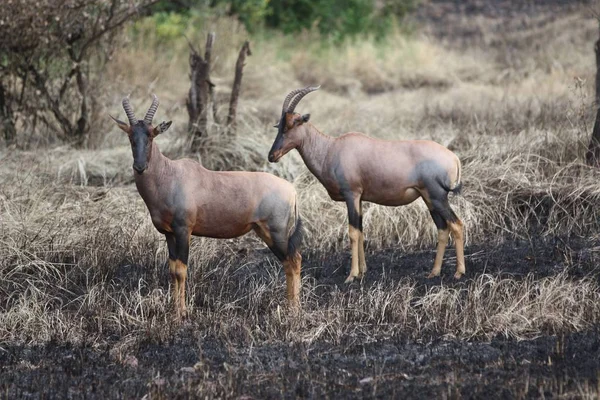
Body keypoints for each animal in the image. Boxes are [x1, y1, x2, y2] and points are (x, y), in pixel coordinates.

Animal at [112, 94, 302, 316]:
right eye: (130, 136)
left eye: (151, 135)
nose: (140, 167)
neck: (170, 174)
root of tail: (292, 190)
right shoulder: (169, 233)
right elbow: (172, 270)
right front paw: (173, 309)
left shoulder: (184, 231)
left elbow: (181, 270)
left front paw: (181, 313)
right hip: (265, 232)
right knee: (291, 262)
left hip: (277, 233)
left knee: (293, 261)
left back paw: (293, 310)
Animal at [268, 86, 464, 282]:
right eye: (280, 125)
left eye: (293, 123)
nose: (272, 156)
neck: (332, 148)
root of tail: (453, 157)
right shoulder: (360, 199)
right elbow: (361, 232)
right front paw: (363, 271)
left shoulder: (351, 195)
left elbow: (353, 233)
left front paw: (352, 275)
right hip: (429, 198)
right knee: (442, 229)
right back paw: (434, 272)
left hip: (437, 197)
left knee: (456, 224)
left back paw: (459, 272)